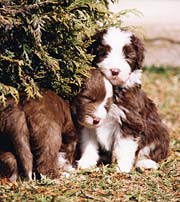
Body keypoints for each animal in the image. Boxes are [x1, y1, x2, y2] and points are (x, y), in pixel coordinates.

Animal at [82, 26, 169, 172]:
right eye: (103, 53)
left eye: (128, 56)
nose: (115, 70)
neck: (113, 90)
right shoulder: (89, 119)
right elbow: (89, 144)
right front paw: (86, 163)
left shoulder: (129, 120)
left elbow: (123, 148)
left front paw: (121, 168)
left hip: (158, 131)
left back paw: (146, 163)